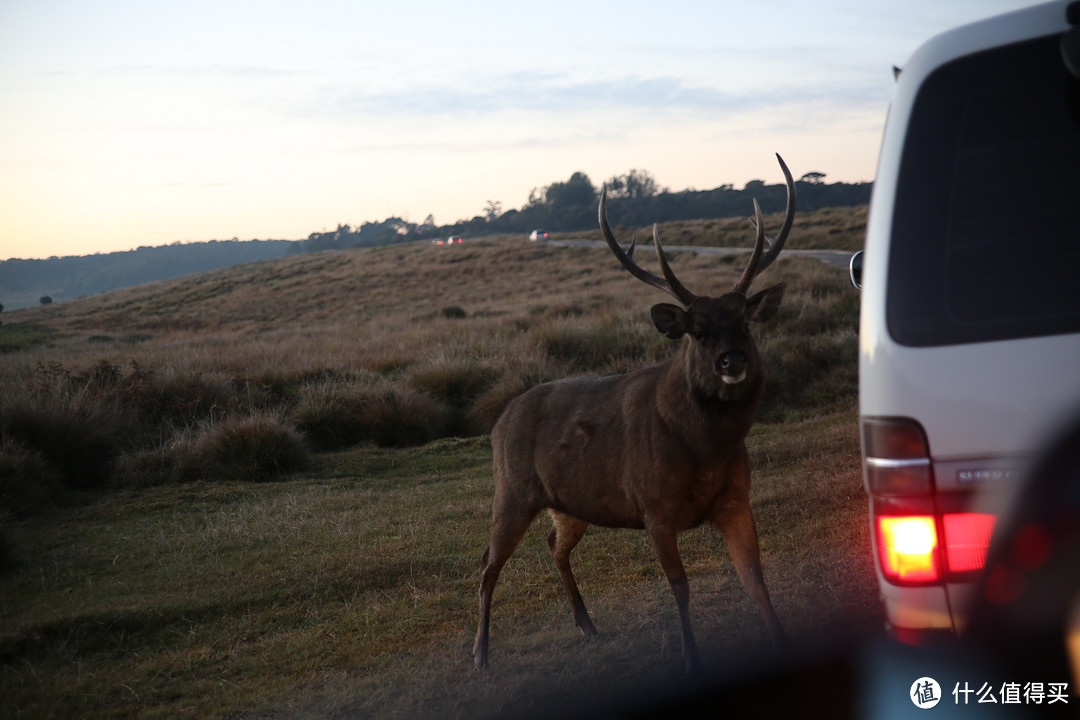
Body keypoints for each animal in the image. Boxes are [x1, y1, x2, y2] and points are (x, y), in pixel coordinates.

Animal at [473, 153, 794, 677]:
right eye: (697, 331)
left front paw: (783, 643)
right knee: (487, 562)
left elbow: (756, 578)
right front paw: (691, 658)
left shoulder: (736, 500)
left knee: (553, 544)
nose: (732, 361)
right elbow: (679, 587)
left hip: (570, 504)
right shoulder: (652, 506)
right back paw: (480, 653)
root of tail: (499, 420)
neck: (703, 451)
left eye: (745, 322)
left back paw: (586, 623)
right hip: (512, 489)